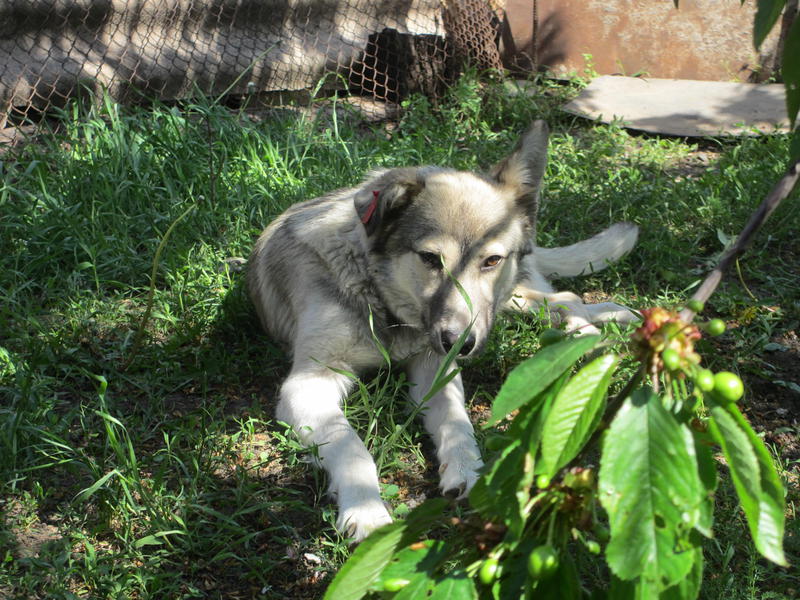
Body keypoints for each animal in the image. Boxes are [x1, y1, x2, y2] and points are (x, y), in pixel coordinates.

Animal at [247, 119, 636, 540]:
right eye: (430, 259)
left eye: (491, 260)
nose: (459, 344)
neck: (382, 303)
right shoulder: (310, 382)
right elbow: (351, 447)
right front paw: (366, 509)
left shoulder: (434, 366)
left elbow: (455, 419)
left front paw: (467, 469)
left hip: (507, 297)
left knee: (563, 296)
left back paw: (597, 324)